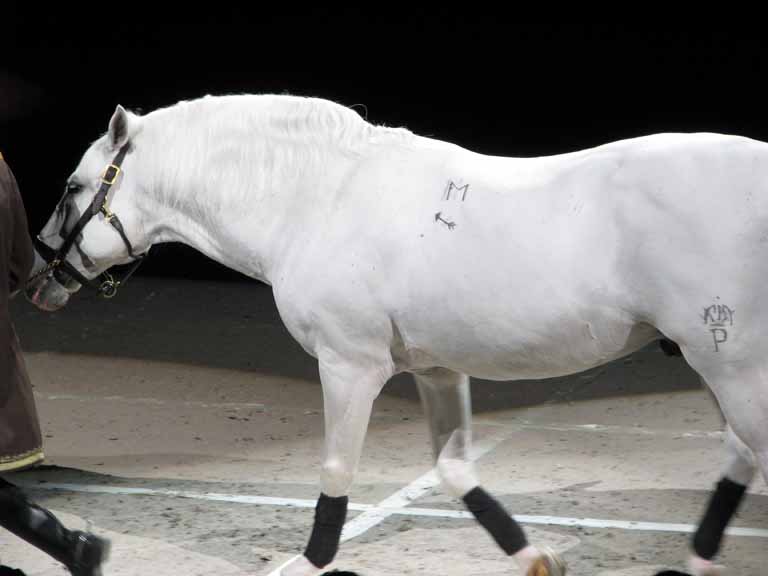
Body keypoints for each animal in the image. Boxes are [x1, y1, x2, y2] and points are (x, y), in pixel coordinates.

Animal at [24, 92, 768, 572]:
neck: (316, 199)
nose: (38, 282)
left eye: (73, 186)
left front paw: (313, 561)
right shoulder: (438, 369)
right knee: (741, 454)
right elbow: (454, 467)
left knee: (746, 448)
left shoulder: (349, 365)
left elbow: (336, 468)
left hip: (730, 366)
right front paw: (534, 557)